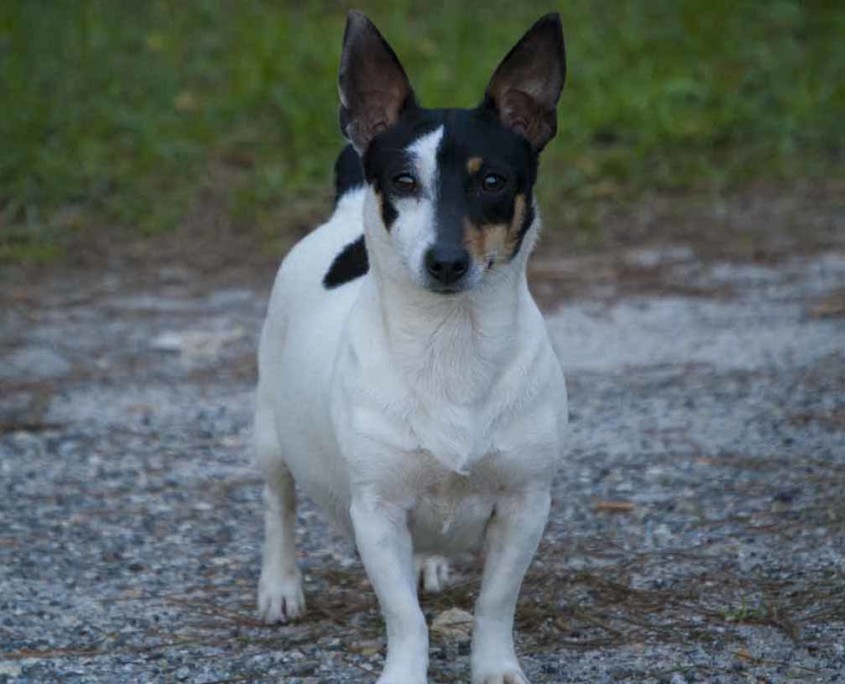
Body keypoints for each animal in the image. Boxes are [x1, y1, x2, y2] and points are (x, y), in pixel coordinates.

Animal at [252, 10, 568, 684]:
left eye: (493, 181)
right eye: (403, 181)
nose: (445, 261)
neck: (451, 344)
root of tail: (345, 208)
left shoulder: (526, 504)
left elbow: (496, 603)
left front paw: (496, 667)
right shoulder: (377, 513)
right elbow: (405, 618)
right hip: (268, 431)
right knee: (278, 505)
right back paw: (280, 586)